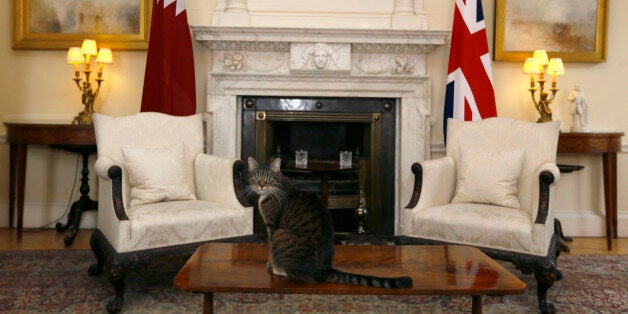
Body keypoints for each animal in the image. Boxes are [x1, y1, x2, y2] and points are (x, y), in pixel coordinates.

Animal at [245, 157, 412, 290]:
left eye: (268, 179)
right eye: (256, 178)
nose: (261, 185)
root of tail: (324, 269)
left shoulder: (272, 226)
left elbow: (270, 249)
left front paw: (272, 266)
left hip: (282, 233)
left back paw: (281, 270)